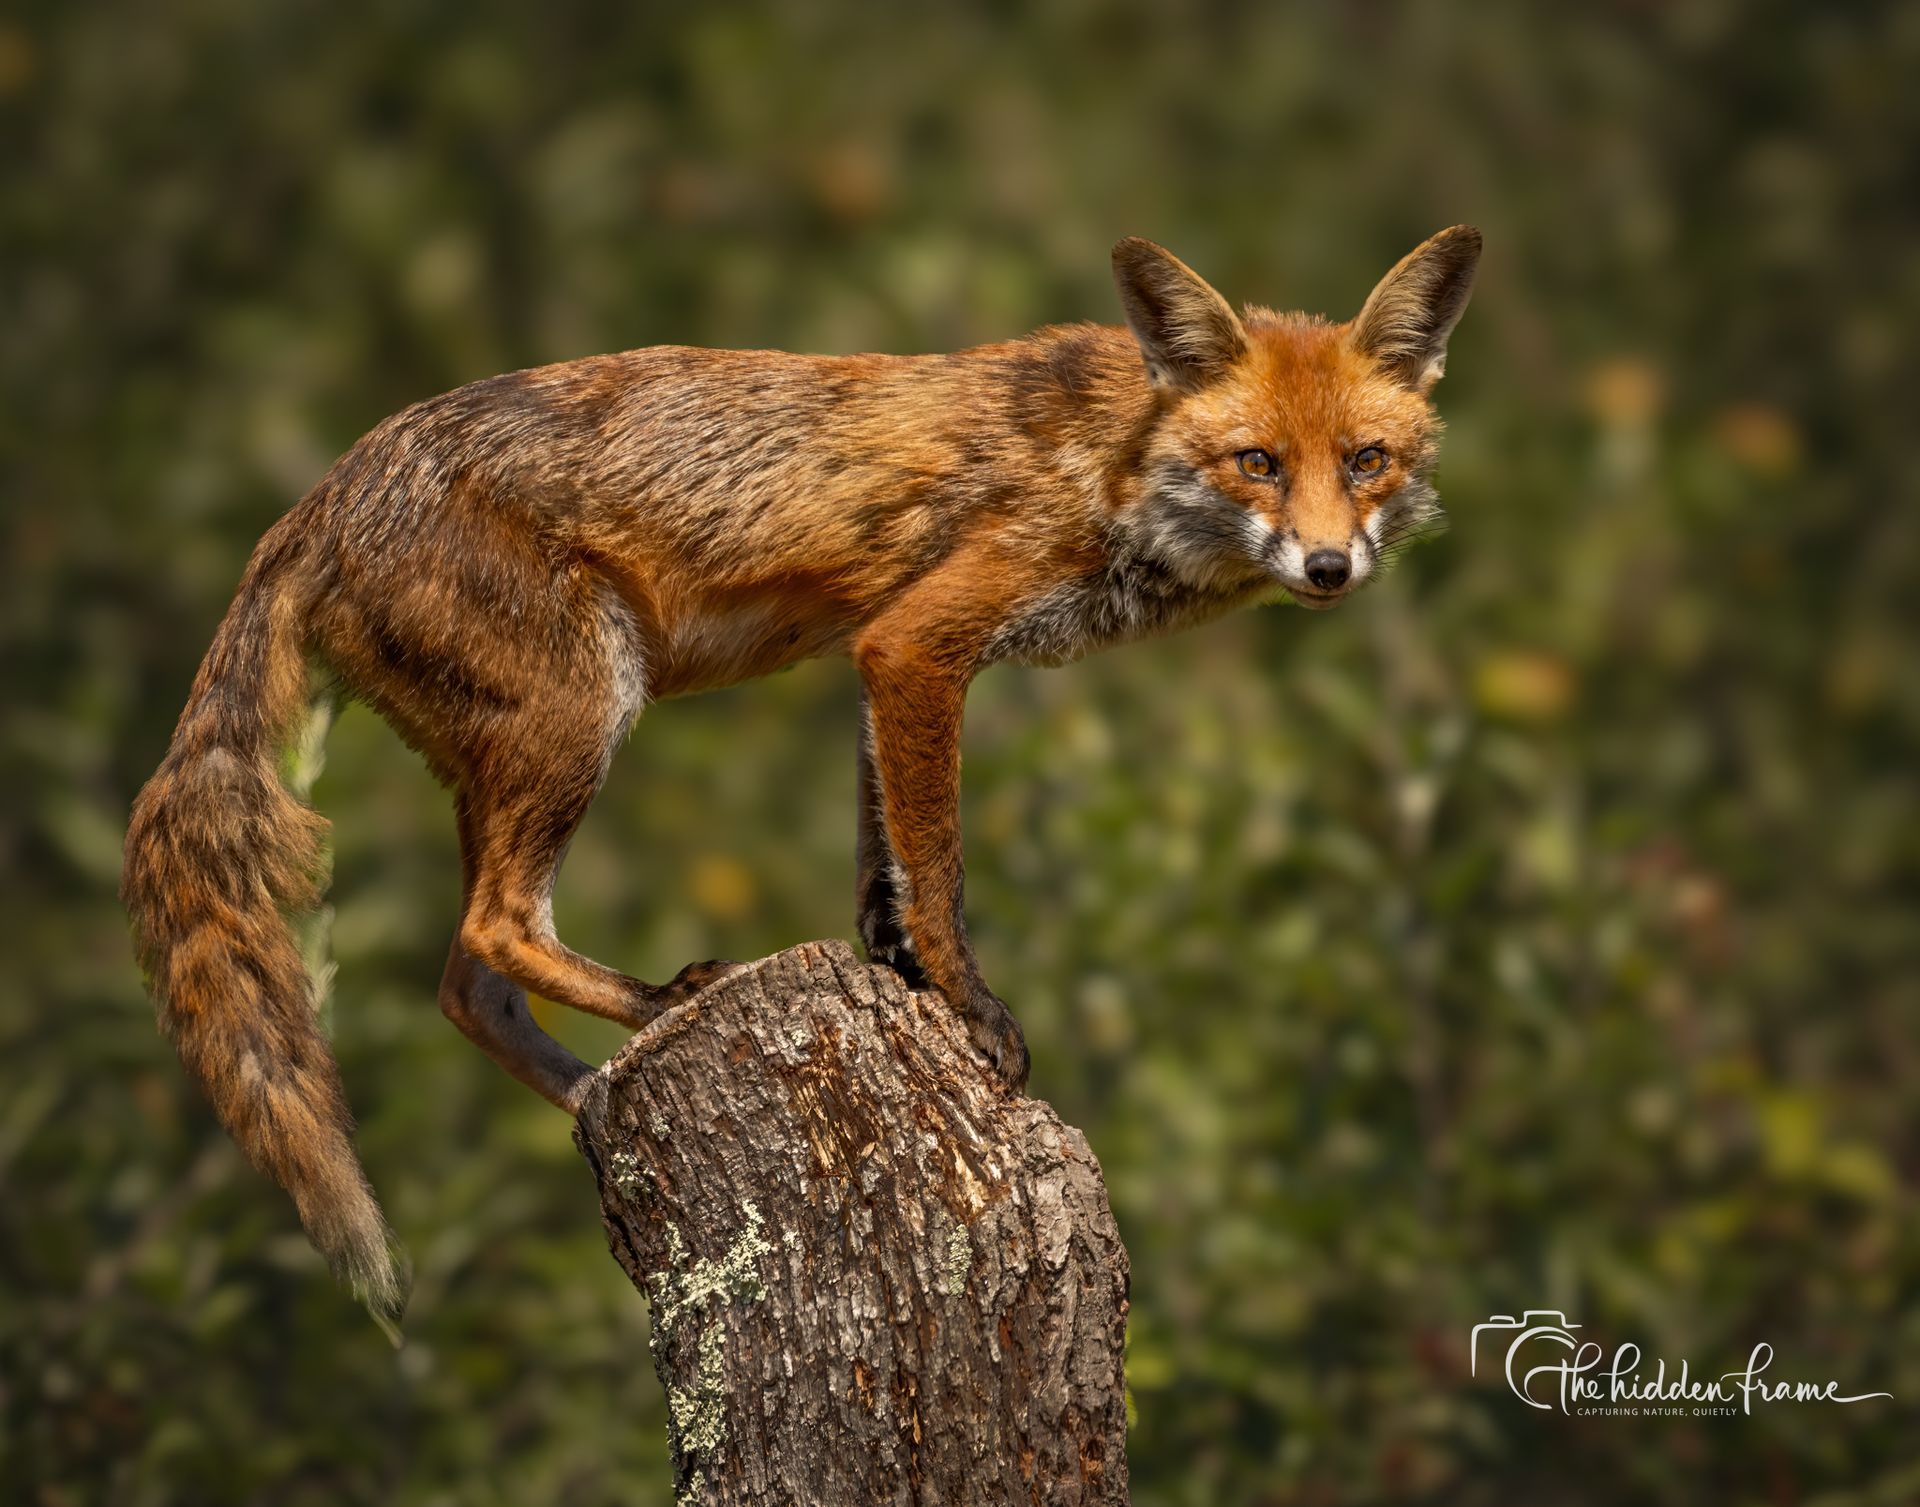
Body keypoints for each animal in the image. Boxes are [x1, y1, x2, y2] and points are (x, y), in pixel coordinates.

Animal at [122, 227, 1480, 1328]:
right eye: (1258, 462)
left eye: (1365, 460)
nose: (1328, 569)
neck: (1113, 466)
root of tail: (313, 501)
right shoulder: (918, 643)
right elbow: (940, 866)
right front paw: (970, 1010)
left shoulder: (873, 654)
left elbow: (884, 860)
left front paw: (897, 972)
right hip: (582, 717)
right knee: (497, 929)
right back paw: (660, 1002)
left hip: (512, 756)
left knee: (466, 985)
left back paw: (598, 1108)